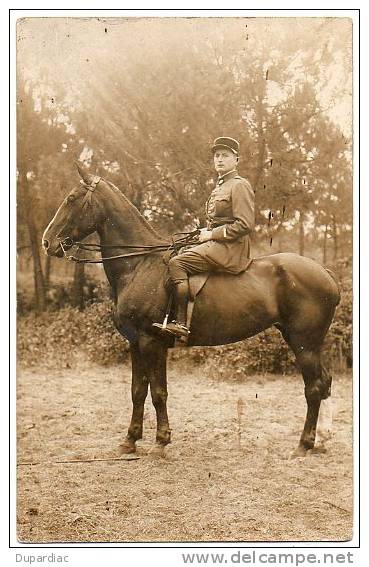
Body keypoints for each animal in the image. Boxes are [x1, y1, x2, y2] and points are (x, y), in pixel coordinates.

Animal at [42, 166, 340, 460]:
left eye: (71, 199)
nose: (47, 243)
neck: (139, 265)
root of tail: (324, 272)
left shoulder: (152, 342)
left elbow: (158, 392)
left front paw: (161, 442)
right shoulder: (135, 343)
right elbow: (137, 391)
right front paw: (130, 441)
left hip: (304, 343)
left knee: (314, 388)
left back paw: (304, 444)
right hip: (307, 342)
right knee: (324, 383)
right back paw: (322, 441)